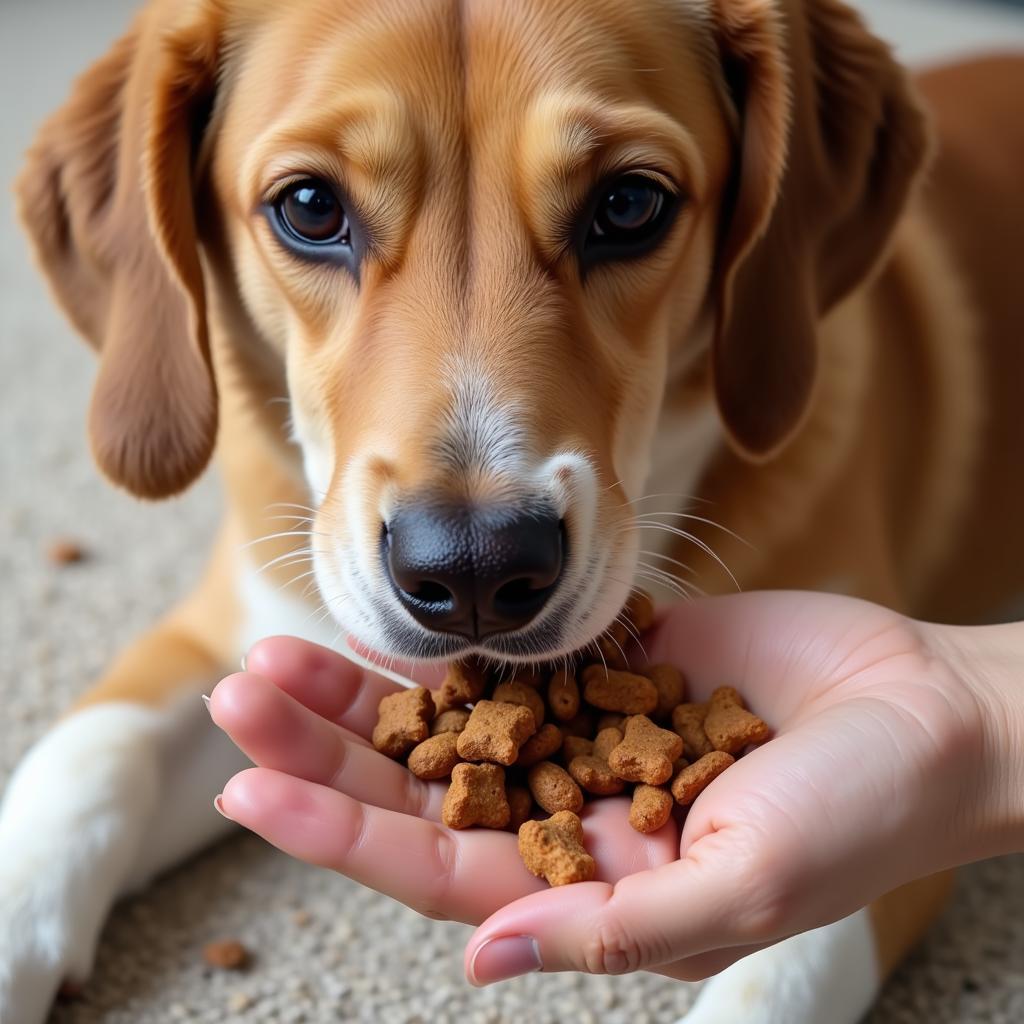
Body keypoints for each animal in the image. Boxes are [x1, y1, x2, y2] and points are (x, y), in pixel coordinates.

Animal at [2, 0, 1024, 1019]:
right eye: (310, 208)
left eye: (628, 204)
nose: (473, 569)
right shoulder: (225, 640)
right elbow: (87, 759)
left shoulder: (895, 858)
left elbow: (776, 977)